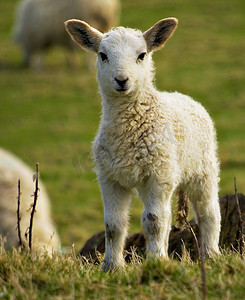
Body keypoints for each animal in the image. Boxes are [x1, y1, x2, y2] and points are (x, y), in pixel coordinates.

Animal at [65, 18, 222, 270]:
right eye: (102, 55)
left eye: (142, 55)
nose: (121, 80)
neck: (129, 130)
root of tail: (182, 96)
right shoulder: (110, 178)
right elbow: (113, 224)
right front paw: (112, 266)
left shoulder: (159, 175)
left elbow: (154, 221)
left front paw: (156, 262)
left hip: (202, 169)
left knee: (208, 212)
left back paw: (210, 254)